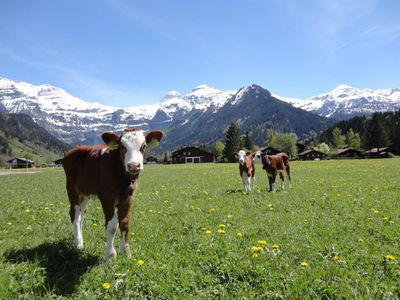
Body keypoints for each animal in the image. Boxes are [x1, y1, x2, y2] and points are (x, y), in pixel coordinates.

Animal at [62, 127, 162, 262]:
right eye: (122, 146)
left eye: (144, 146)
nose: (133, 165)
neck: (123, 178)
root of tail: (75, 149)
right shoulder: (106, 197)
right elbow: (112, 226)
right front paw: (110, 256)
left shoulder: (128, 198)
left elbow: (125, 223)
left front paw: (126, 253)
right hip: (72, 189)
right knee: (74, 214)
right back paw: (78, 244)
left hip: (85, 194)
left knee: (81, 215)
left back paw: (78, 239)